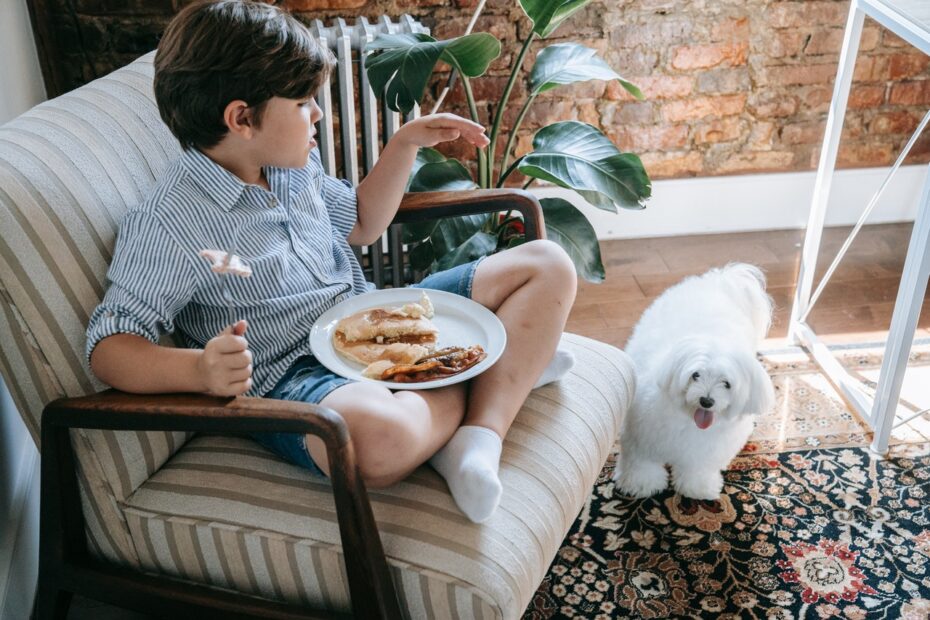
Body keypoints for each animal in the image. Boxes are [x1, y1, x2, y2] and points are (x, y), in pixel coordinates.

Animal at [612, 262, 772, 498]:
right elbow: (642, 463)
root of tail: (719, 280)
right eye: (695, 375)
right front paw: (640, 485)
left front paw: (698, 488)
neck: (688, 420)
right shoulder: (641, 437)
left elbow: (697, 470)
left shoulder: (704, 453)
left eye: (726, 383)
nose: (706, 401)